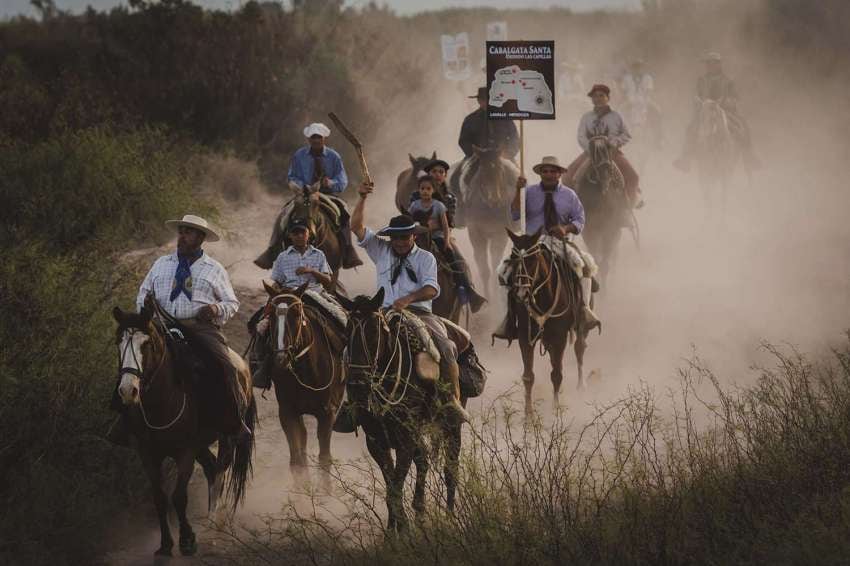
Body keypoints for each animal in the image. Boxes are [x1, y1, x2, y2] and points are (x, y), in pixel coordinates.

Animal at [262, 282, 348, 482]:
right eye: (271, 315)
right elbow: (296, 461)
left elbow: (324, 459)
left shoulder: (327, 414)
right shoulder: (287, 412)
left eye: (296, 314)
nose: (281, 358)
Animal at [336, 290, 460, 536]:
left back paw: (450, 517)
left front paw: (402, 531)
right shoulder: (376, 441)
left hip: (451, 424)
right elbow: (391, 486)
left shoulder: (405, 439)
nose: (357, 385)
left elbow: (395, 487)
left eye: (374, 332)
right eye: (346, 332)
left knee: (450, 467)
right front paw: (394, 531)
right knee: (423, 460)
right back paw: (420, 512)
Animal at [448, 146, 520, 296]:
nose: (495, 199)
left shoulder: (500, 234)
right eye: (482, 173)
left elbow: (495, 264)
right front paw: (488, 297)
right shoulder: (476, 233)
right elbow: (484, 269)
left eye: (501, 171)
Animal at [500, 232, 588, 418]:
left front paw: (555, 411)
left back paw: (581, 386)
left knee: (580, 347)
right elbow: (528, 376)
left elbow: (556, 374)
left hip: (580, 324)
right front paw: (529, 416)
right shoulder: (525, 337)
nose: (521, 293)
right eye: (513, 259)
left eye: (533, 260)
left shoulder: (559, 337)